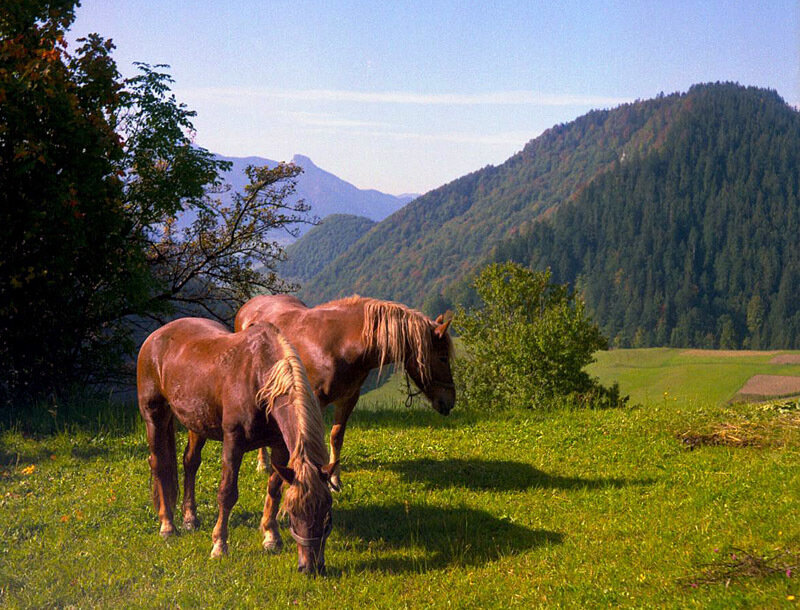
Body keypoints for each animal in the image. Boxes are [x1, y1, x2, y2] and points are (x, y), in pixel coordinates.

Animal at [136, 317, 335, 575]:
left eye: (326, 511)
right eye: (293, 513)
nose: (310, 567)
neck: (260, 377)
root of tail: (155, 336)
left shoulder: (279, 446)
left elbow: (274, 488)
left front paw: (271, 537)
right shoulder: (233, 441)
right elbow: (227, 493)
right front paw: (219, 546)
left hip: (196, 422)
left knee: (190, 462)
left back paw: (190, 518)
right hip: (155, 416)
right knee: (159, 465)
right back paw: (168, 526)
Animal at [234, 294, 455, 492]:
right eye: (443, 358)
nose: (450, 401)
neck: (340, 345)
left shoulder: (348, 398)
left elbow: (336, 436)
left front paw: (335, 480)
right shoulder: (315, 401)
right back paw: (263, 463)